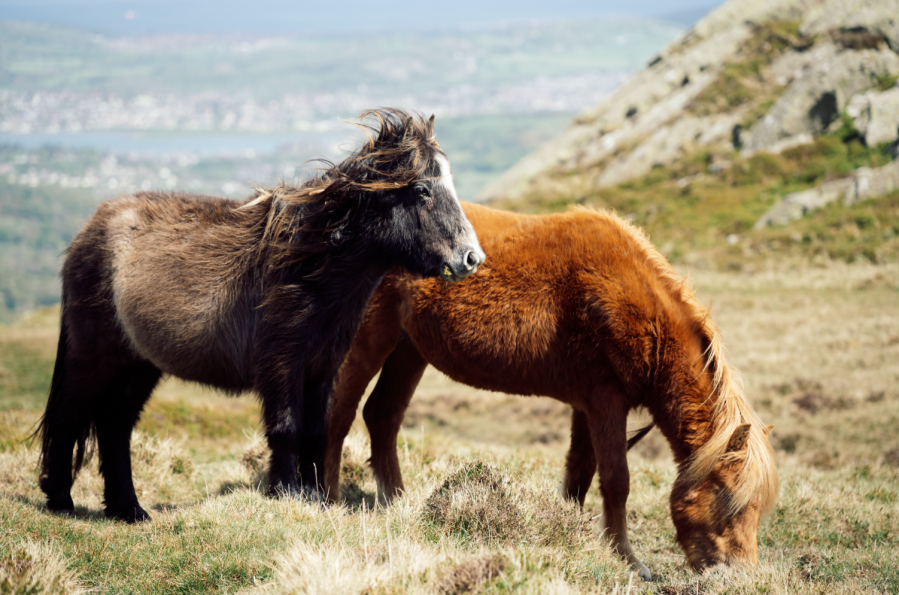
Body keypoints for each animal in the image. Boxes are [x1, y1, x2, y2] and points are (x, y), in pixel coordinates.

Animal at [36, 108, 485, 523]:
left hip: (139, 365)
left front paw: (315, 497)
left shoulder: (322, 367)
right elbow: (286, 428)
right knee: (70, 415)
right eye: (422, 189)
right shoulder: (281, 365)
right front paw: (285, 493)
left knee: (115, 425)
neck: (308, 263)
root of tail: (87, 233)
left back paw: (128, 509)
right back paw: (61, 500)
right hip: (94, 358)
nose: (472, 258)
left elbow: (316, 431)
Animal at [325, 202, 777, 580]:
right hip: (368, 341)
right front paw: (628, 561)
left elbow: (579, 474)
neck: (637, 304)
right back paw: (327, 498)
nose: (741, 575)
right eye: (728, 498)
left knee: (382, 417)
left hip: (408, 351)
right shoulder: (606, 402)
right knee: (339, 416)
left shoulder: (587, 406)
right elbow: (616, 481)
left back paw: (397, 504)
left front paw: (569, 535)